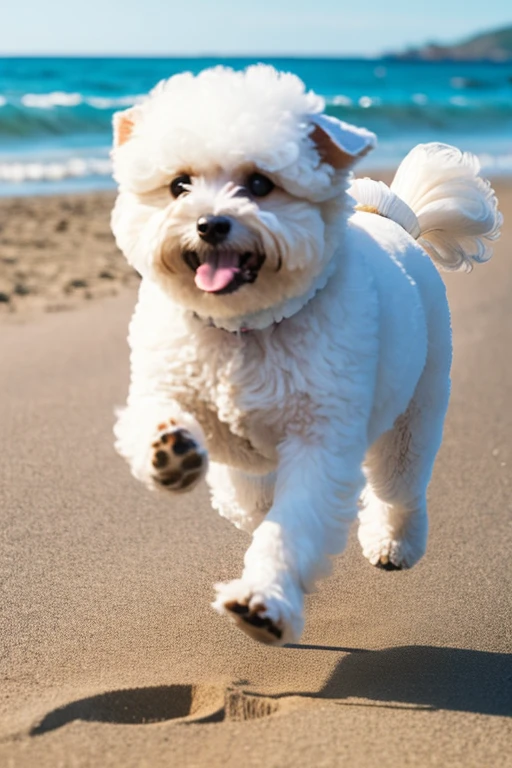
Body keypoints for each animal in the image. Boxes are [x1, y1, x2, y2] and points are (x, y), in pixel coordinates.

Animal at [111, 66, 500, 644]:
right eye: (179, 184)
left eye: (259, 184)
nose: (210, 223)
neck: (244, 329)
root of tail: (395, 222)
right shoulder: (167, 381)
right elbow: (153, 416)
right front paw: (169, 451)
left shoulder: (321, 443)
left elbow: (292, 528)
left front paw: (264, 601)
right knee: (249, 498)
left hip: (415, 412)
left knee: (399, 486)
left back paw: (394, 543)